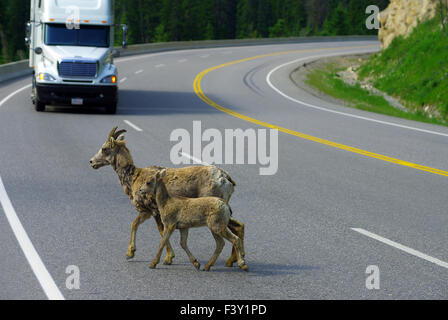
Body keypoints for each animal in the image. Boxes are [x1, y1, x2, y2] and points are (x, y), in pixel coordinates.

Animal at [89, 126, 245, 266]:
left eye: (104, 148)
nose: (91, 162)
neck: (133, 178)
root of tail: (225, 178)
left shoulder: (151, 211)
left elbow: (154, 230)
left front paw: (161, 258)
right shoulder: (150, 213)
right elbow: (144, 227)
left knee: (235, 229)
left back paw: (236, 261)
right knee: (239, 226)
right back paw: (233, 260)